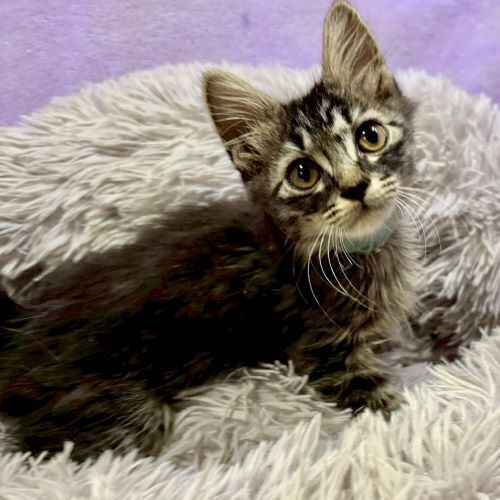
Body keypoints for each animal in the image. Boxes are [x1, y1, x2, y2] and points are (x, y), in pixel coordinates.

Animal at [0, 0, 420, 460]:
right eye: (303, 174)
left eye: (370, 136)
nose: (355, 186)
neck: (353, 249)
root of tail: (18, 330)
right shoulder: (326, 351)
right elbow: (386, 409)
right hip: (118, 408)